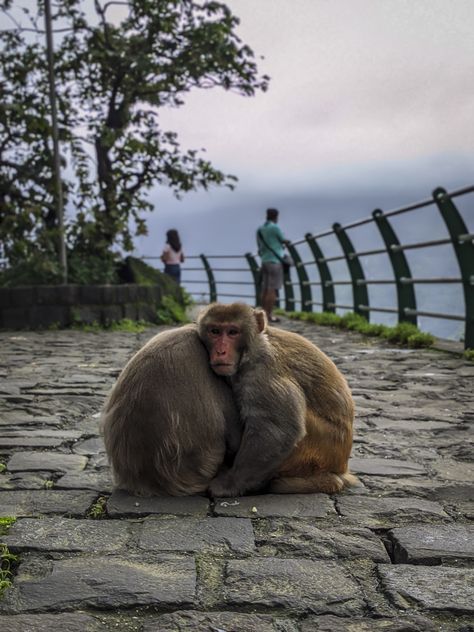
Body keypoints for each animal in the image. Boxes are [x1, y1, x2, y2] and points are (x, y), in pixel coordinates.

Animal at [195, 302, 356, 498]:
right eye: (215, 331)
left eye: (233, 332)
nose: (220, 351)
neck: (252, 349)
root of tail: (342, 468)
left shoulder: (262, 372)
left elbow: (279, 431)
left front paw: (229, 485)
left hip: (320, 450)